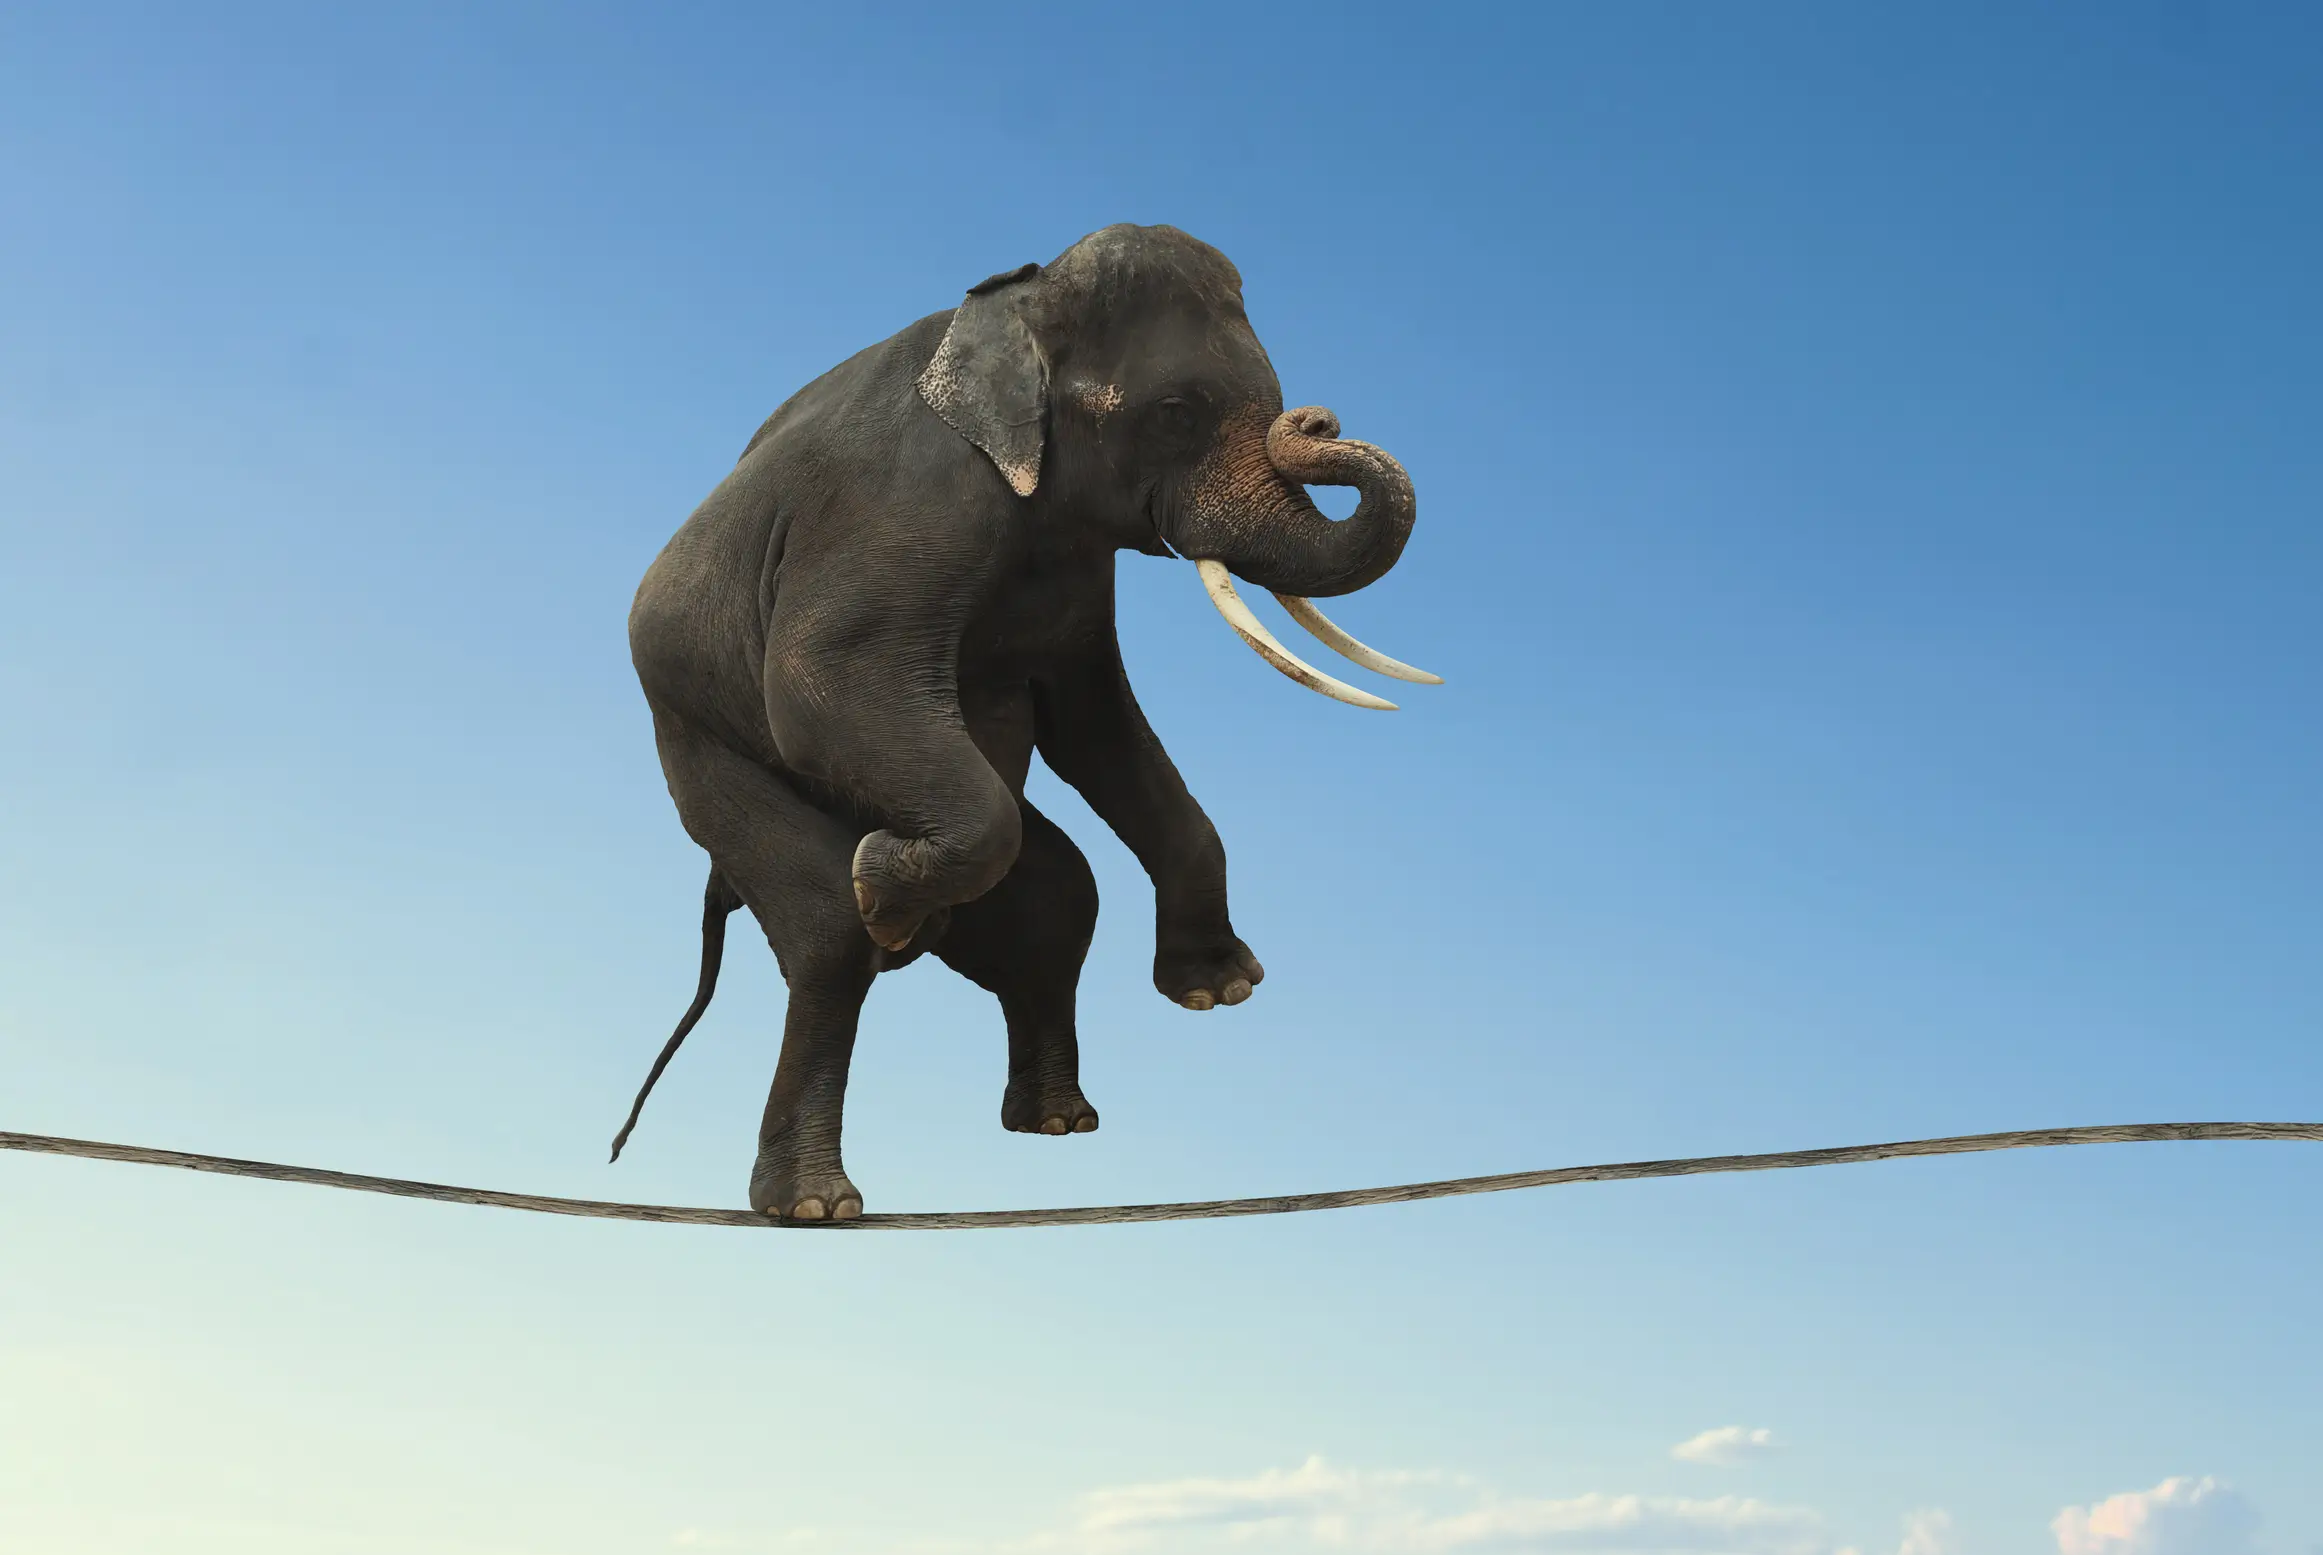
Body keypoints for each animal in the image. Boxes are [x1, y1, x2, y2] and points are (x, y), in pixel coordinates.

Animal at [613, 224, 1436, 1219]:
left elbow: (1093, 721)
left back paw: (1054, 1122)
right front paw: (882, 889)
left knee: (1060, 894)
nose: (1317, 421)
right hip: (697, 742)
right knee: (826, 932)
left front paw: (1218, 991)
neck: (1015, 310)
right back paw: (817, 1195)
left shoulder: (1076, 562)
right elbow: (818, 686)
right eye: (1175, 413)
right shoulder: (907, 504)